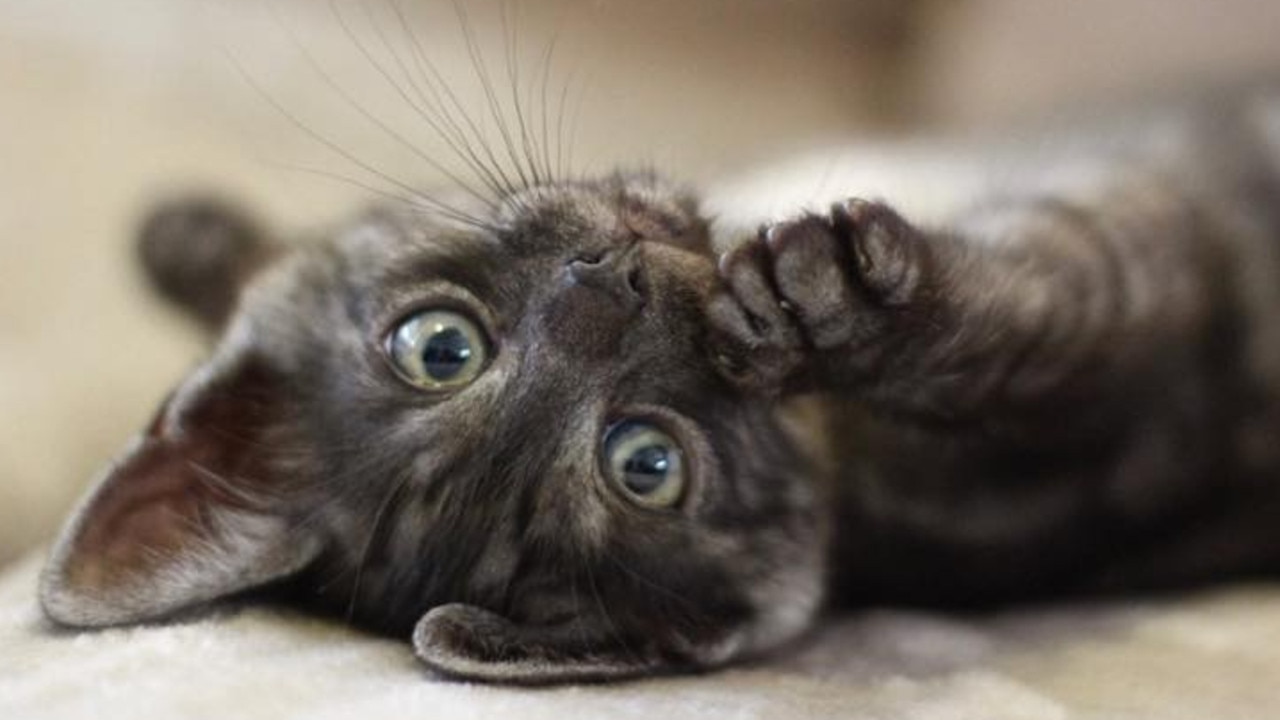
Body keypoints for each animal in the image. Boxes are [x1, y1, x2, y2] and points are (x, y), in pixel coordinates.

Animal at [40, 87, 1280, 681]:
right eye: (646, 464)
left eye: (438, 347)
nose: (617, 281)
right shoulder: (1142, 292)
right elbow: (1037, 318)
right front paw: (839, 301)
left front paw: (190, 238)